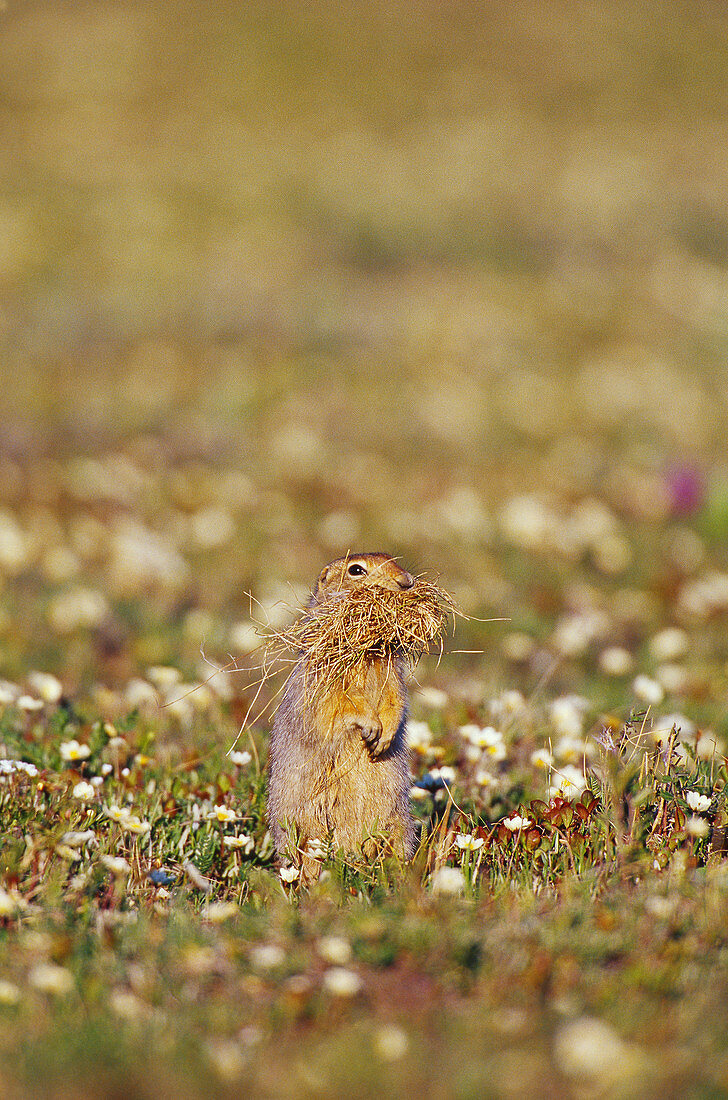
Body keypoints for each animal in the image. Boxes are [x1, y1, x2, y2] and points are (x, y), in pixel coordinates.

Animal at [268, 554, 420, 880]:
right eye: (356, 569)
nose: (406, 581)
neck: (370, 652)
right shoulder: (324, 677)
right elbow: (342, 704)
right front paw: (372, 728)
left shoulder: (394, 677)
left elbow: (396, 701)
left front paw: (384, 740)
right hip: (308, 826)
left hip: (399, 822)